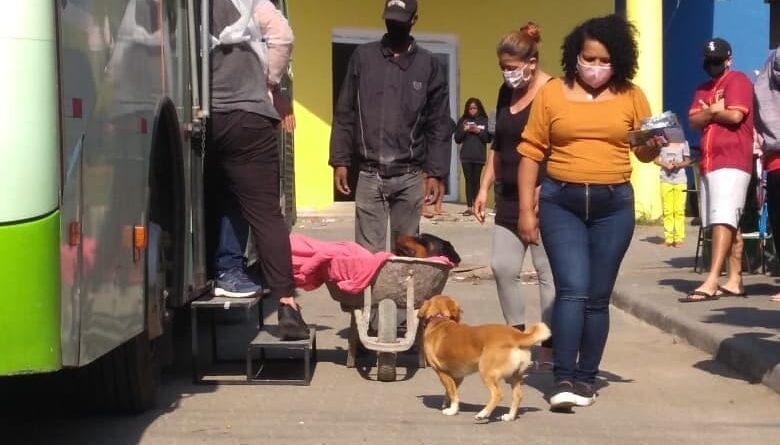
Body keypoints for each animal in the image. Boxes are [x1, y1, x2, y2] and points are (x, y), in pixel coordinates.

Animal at [418, 294, 552, 420]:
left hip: (486, 372)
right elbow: (450, 391)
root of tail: (516, 336)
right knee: (518, 395)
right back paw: (509, 416)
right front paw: (447, 404)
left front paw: (452, 410)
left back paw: (483, 414)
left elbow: (452, 393)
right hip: (515, 375)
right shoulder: (458, 377)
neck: (439, 319)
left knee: (498, 395)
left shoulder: (442, 372)